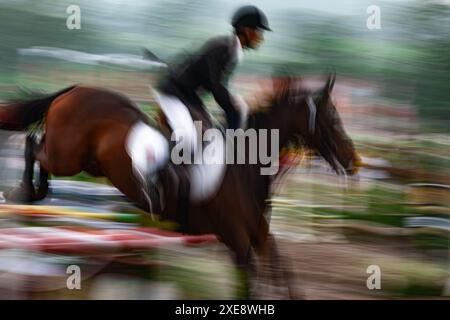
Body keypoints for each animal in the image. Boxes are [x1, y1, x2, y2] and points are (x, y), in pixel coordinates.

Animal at [0, 74, 358, 298]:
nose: (354, 162)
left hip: (88, 162)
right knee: (33, 145)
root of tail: (74, 90)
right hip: (67, 156)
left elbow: (283, 271)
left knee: (38, 149)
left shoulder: (259, 235)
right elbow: (250, 283)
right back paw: (26, 192)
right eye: (333, 118)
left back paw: (33, 192)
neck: (246, 169)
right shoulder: (237, 240)